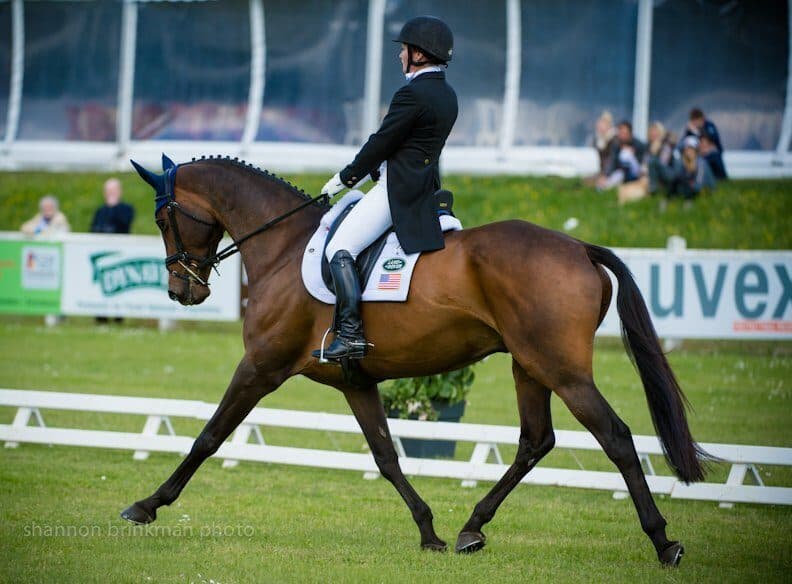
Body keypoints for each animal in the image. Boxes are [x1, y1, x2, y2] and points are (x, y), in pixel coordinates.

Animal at [121, 155, 705, 566]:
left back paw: (663, 541)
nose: (181, 292)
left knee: (617, 437)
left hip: (563, 370)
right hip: (529, 365)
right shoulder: (356, 382)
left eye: (162, 219)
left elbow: (209, 436)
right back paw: (472, 527)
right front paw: (428, 532)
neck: (284, 246)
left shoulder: (260, 366)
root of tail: (580, 247)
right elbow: (387, 456)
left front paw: (147, 505)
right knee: (535, 441)